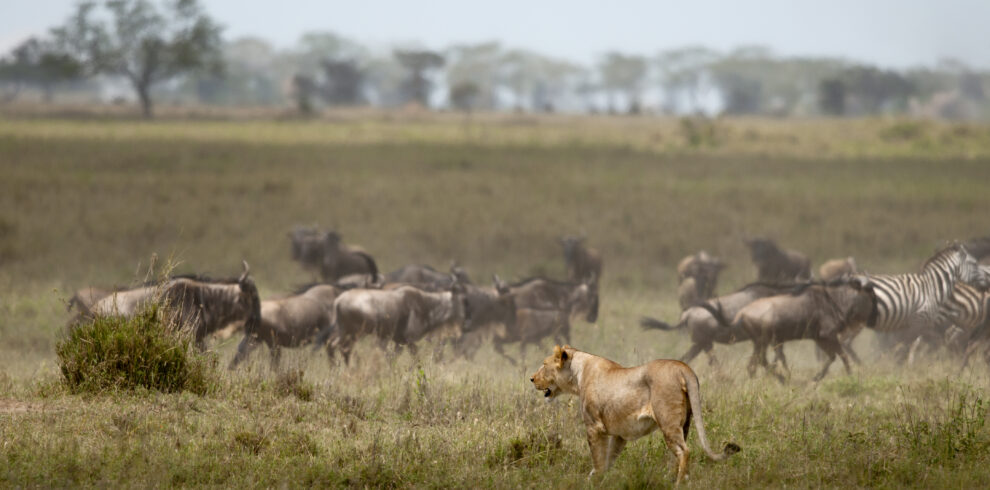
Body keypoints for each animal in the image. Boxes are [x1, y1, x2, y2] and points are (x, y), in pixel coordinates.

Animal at [530, 345, 740, 483]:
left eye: (543, 364)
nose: (531, 379)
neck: (577, 375)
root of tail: (683, 367)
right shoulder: (619, 434)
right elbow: (609, 459)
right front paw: (602, 479)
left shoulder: (593, 427)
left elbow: (598, 457)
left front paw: (594, 479)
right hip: (685, 423)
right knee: (679, 453)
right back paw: (672, 478)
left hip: (668, 422)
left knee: (684, 451)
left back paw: (678, 483)